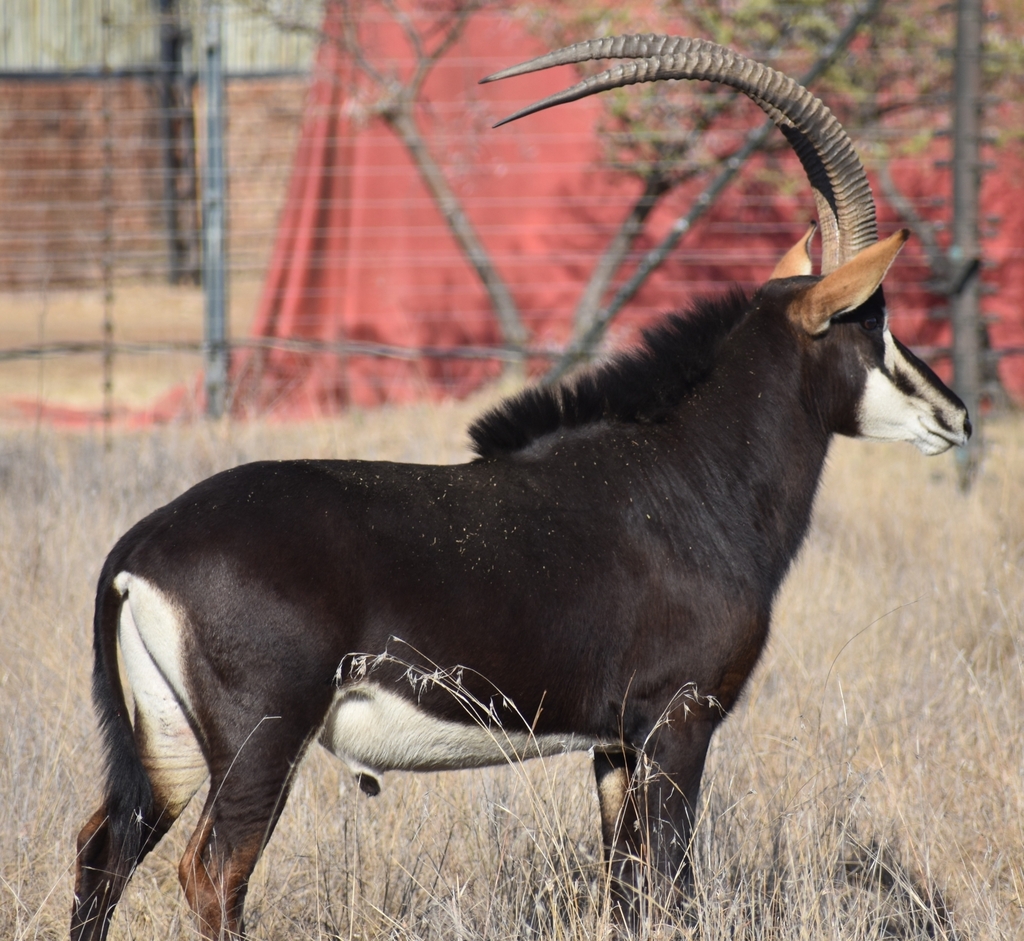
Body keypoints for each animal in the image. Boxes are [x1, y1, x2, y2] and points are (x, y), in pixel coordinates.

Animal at [72, 35, 970, 939]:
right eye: (874, 321)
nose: (957, 415)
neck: (691, 473)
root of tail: (138, 548)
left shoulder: (615, 744)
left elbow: (628, 889)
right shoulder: (678, 721)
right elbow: (671, 886)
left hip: (170, 745)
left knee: (102, 850)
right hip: (262, 738)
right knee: (214, 871)